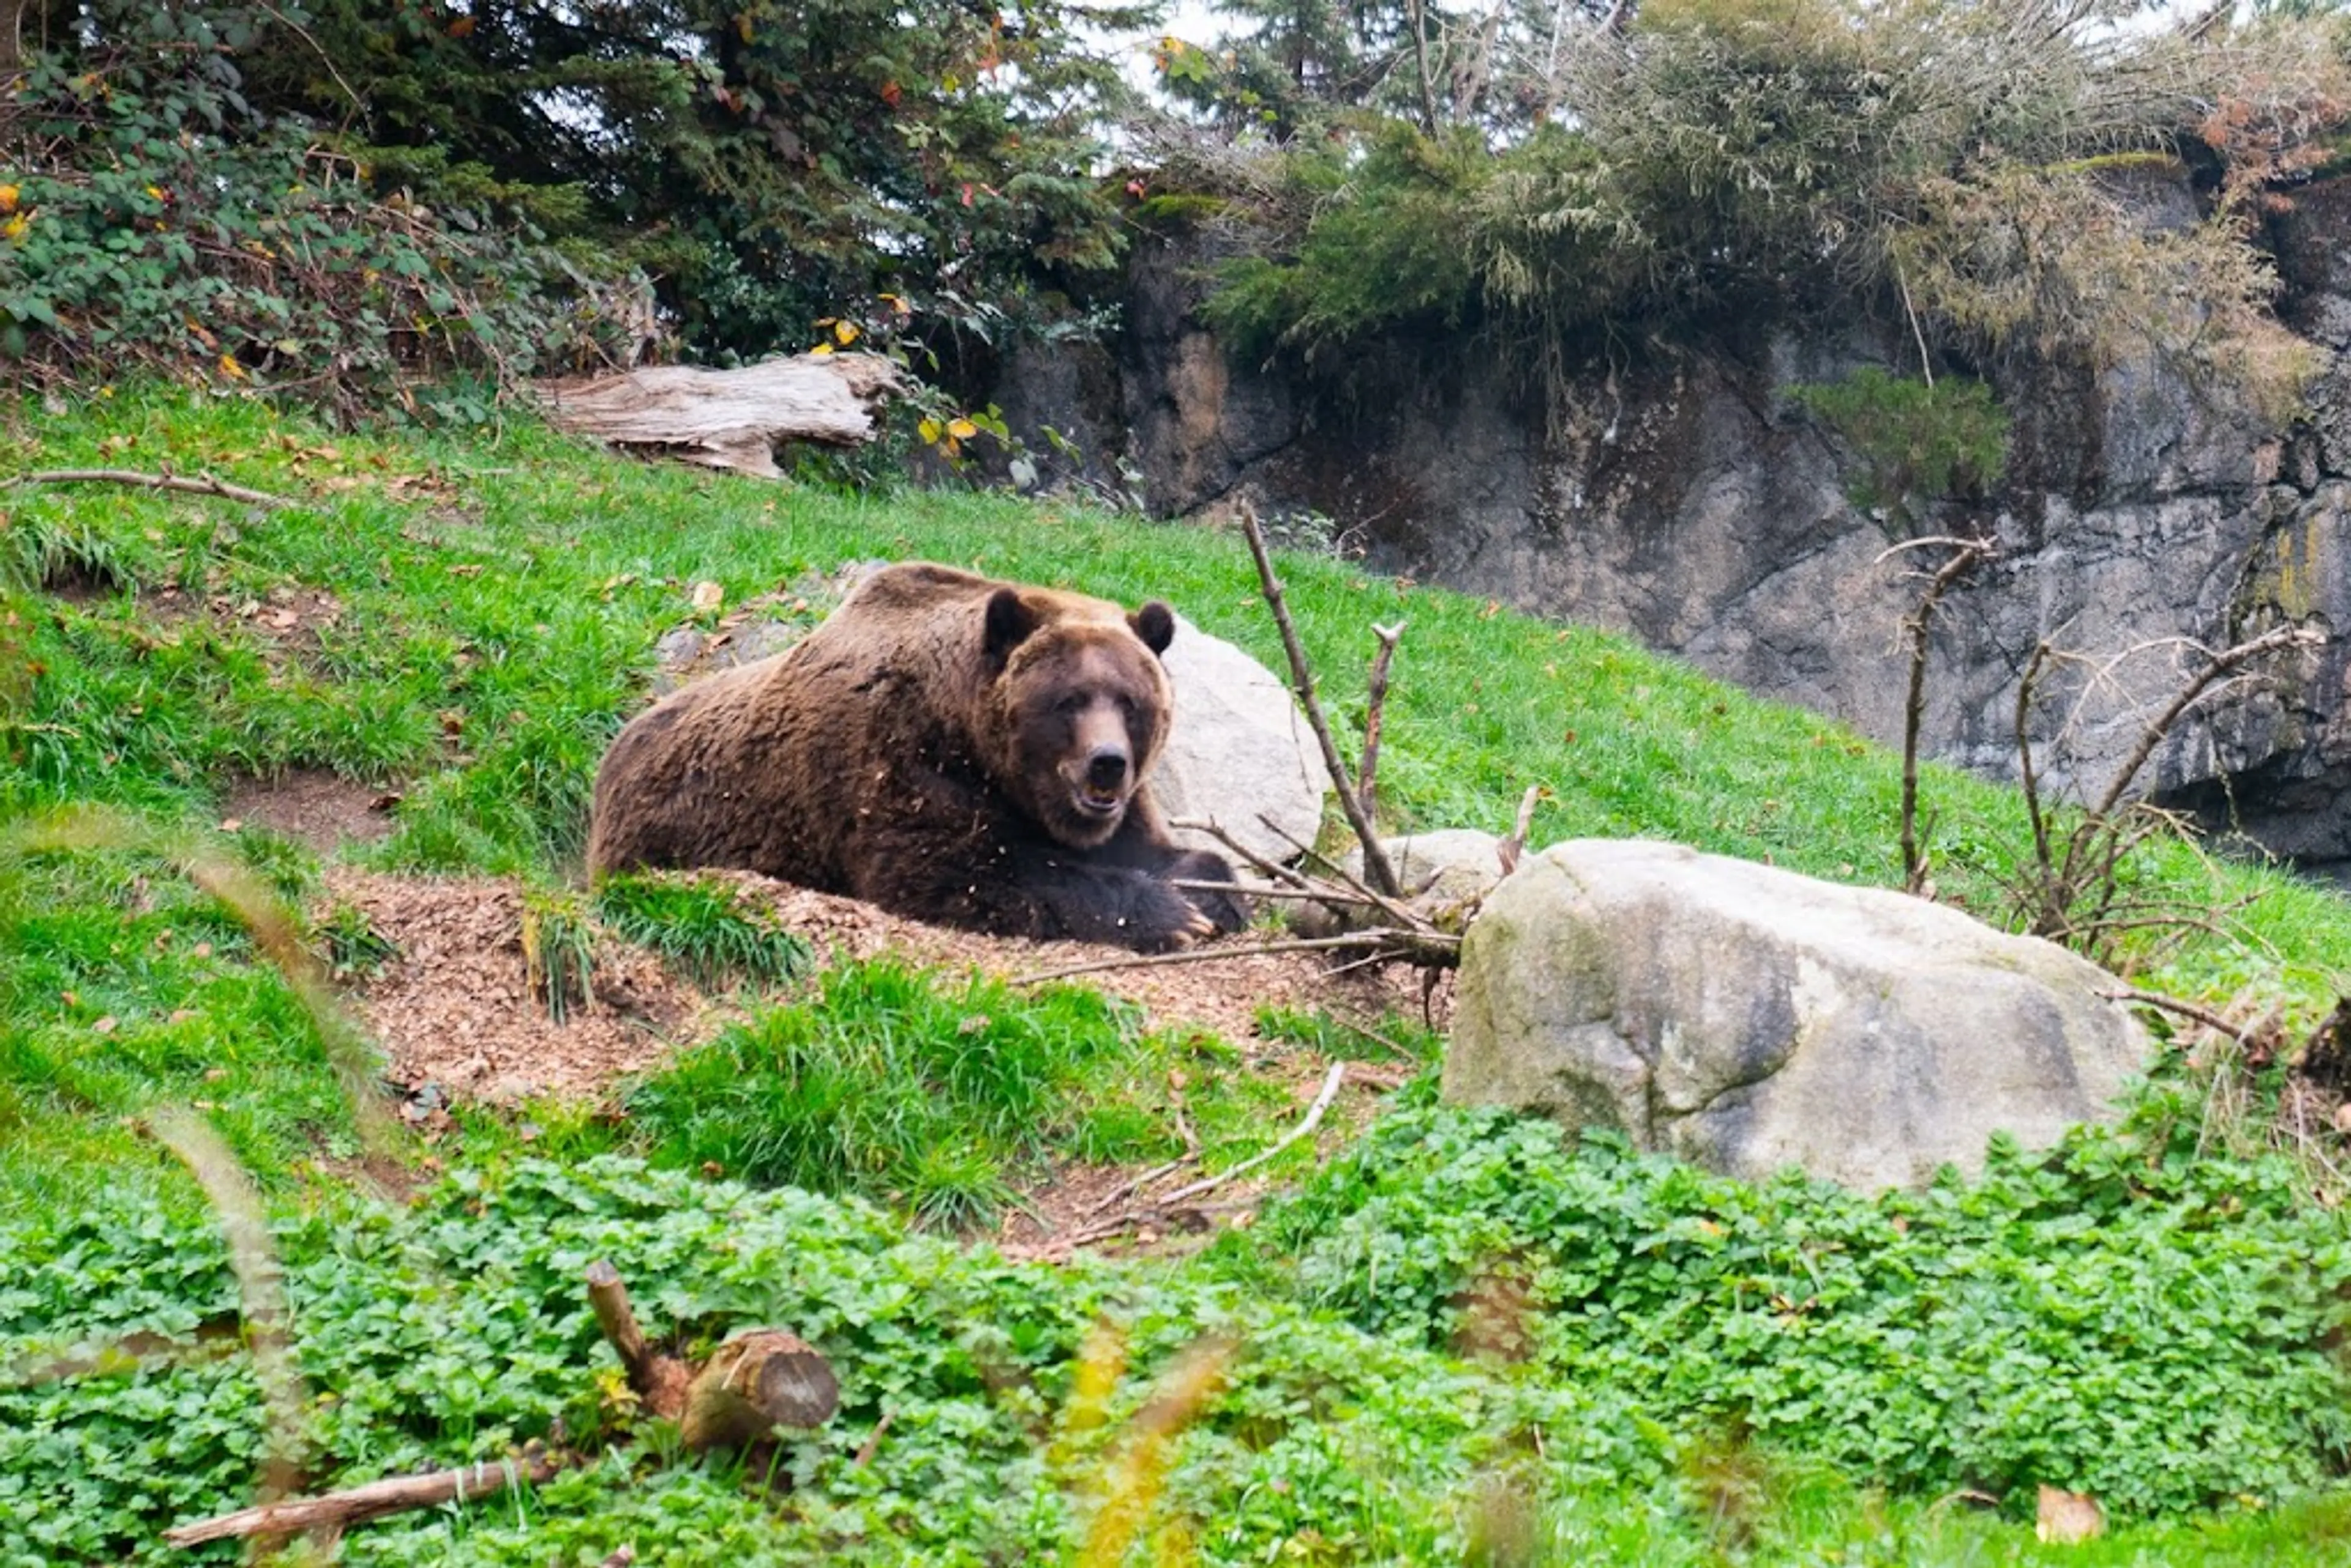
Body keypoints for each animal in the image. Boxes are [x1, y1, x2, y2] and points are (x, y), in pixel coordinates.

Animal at [588, 564, 1250, 959]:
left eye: (1130, 701)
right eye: (1069, 699)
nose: (1106, 763)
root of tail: (614, 749)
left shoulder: (1116, 808)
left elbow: (1168, 852)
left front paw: (1212, 896)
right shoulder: (897, 762)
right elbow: (963, 872)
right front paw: (1174, 913)